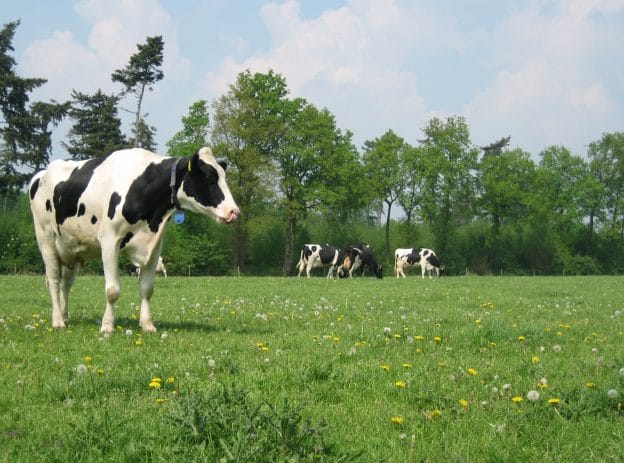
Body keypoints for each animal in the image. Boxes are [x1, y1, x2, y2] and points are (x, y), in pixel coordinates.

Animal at [28, 147, 239, 332]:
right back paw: (57, 321)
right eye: (209, 177)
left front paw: (147, 324)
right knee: (54, 280)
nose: (234, 212)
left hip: (71, 249)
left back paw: (64, 316)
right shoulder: (109, 240)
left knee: (66, 284)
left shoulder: (155, 246)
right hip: (46, 238)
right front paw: (107, 326)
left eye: (223, 176)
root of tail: (41, 174)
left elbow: (147, 288)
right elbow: (112, 290)